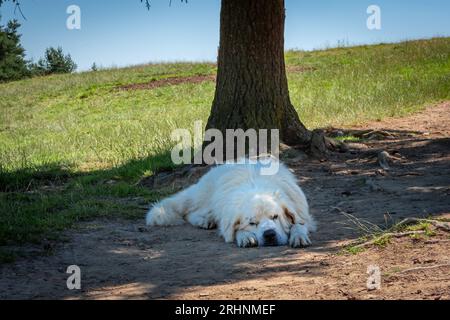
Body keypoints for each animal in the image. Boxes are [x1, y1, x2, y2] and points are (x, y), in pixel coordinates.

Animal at [146, 158, 314, 248]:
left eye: (275, 217)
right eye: (252, 223)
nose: (269, 234)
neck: (257, 186)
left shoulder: (303, 214)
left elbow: (298, 224)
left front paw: (298, 236)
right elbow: (234, 230)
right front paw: (245, 236)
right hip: (205, 198)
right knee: (191, 212)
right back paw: (205, 220)